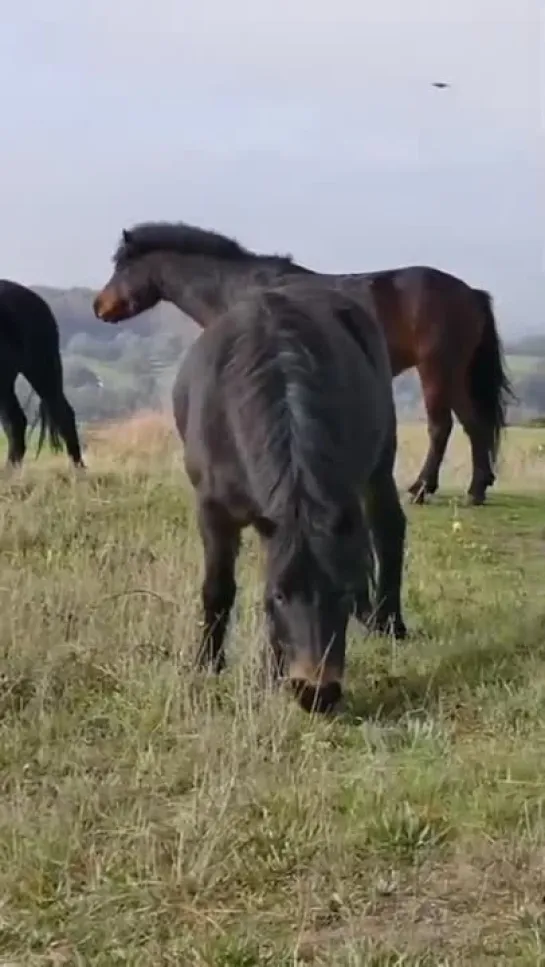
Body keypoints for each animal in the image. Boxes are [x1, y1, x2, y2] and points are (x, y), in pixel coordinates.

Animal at [94, 235, 408, 712]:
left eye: (337, 591)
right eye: (278, 594)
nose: (315, 692)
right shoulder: (215, 511)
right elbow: (218, 589)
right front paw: (212, 664)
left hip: (379, 464)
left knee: (388, 527)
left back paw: (390, 622)